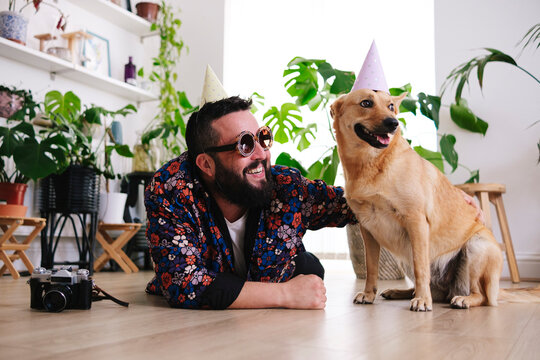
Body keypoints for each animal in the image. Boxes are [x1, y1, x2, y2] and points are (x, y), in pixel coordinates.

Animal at [332, 88, 504, 310]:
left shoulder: (416, 222)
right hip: (403, 254)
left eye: (391, 106)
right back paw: (400, 292)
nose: (394, 123)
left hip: (476, 248)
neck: (372, 164)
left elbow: (421, 268)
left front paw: (422, 300)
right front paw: (369, 294)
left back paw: (462, 299)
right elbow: (371, 269)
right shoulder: (367, 229)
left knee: (481, 295)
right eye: (366, 103)